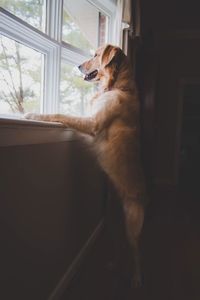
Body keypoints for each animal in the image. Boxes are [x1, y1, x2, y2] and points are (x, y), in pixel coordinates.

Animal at [24, 44, 147, 286]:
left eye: (96, 55)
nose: (79, 65)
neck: (119, 86)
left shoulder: (93, 123)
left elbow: (60, 114)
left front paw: (33, 114)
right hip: (113, 221)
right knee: (120, 247)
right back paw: (115, 264)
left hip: (132, 221)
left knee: (136, 252)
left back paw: (137, 278)